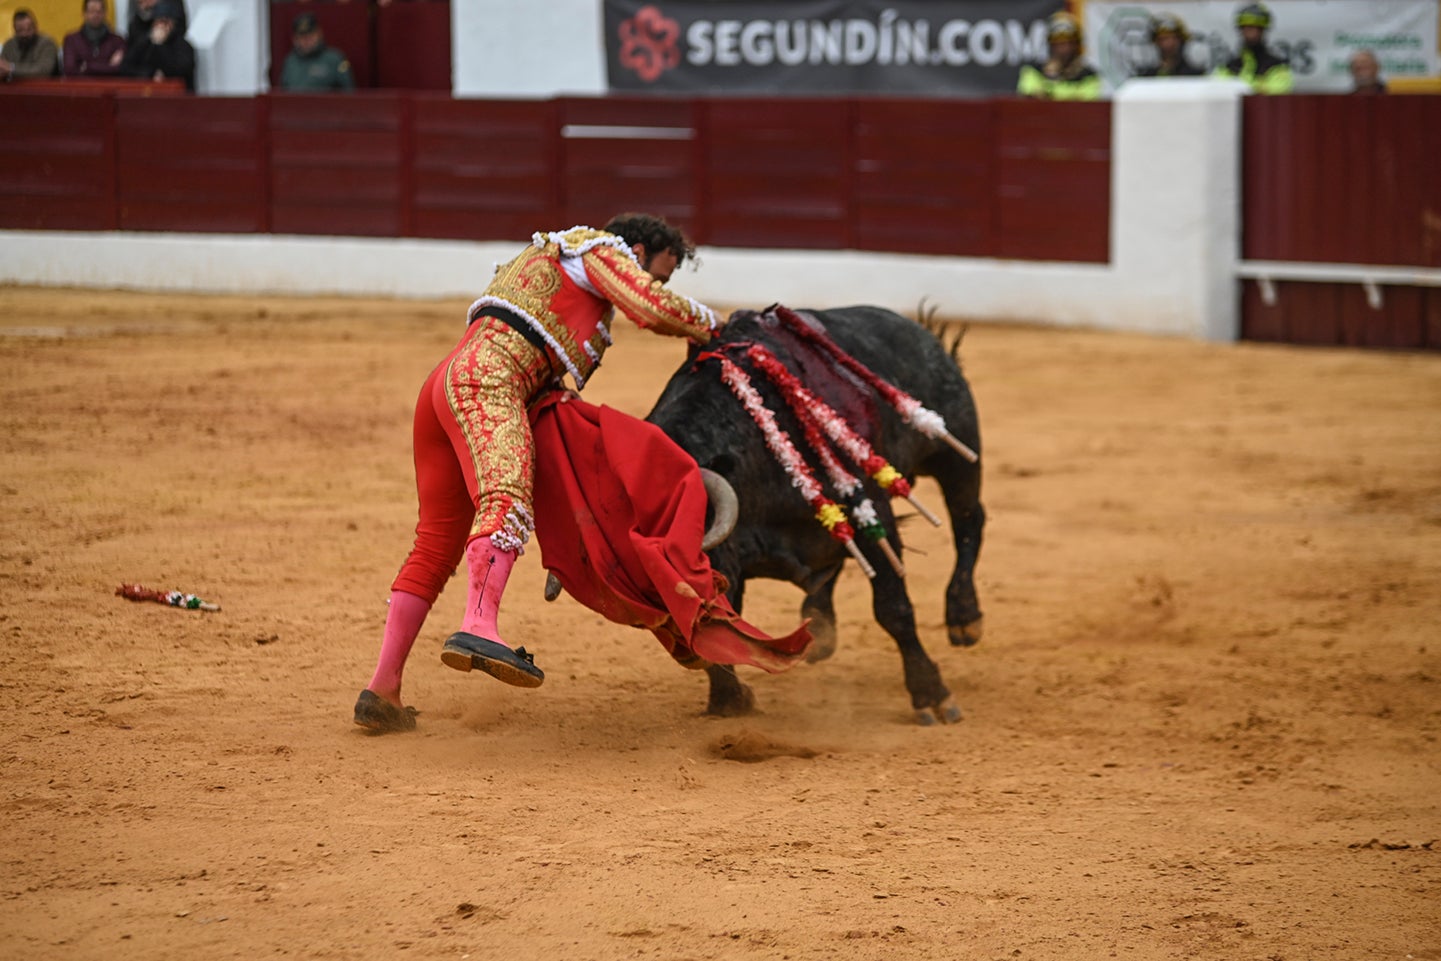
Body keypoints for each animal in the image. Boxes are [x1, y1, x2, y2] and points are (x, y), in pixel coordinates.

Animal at [648, 304, 985, 726]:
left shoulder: (872, 518)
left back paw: (964, 617)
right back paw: (821, 624)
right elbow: (724, 628)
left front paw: (932, 695)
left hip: (954, 452)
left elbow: (893, 608)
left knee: (969, 520)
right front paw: (730, 700)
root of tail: (921, 332)